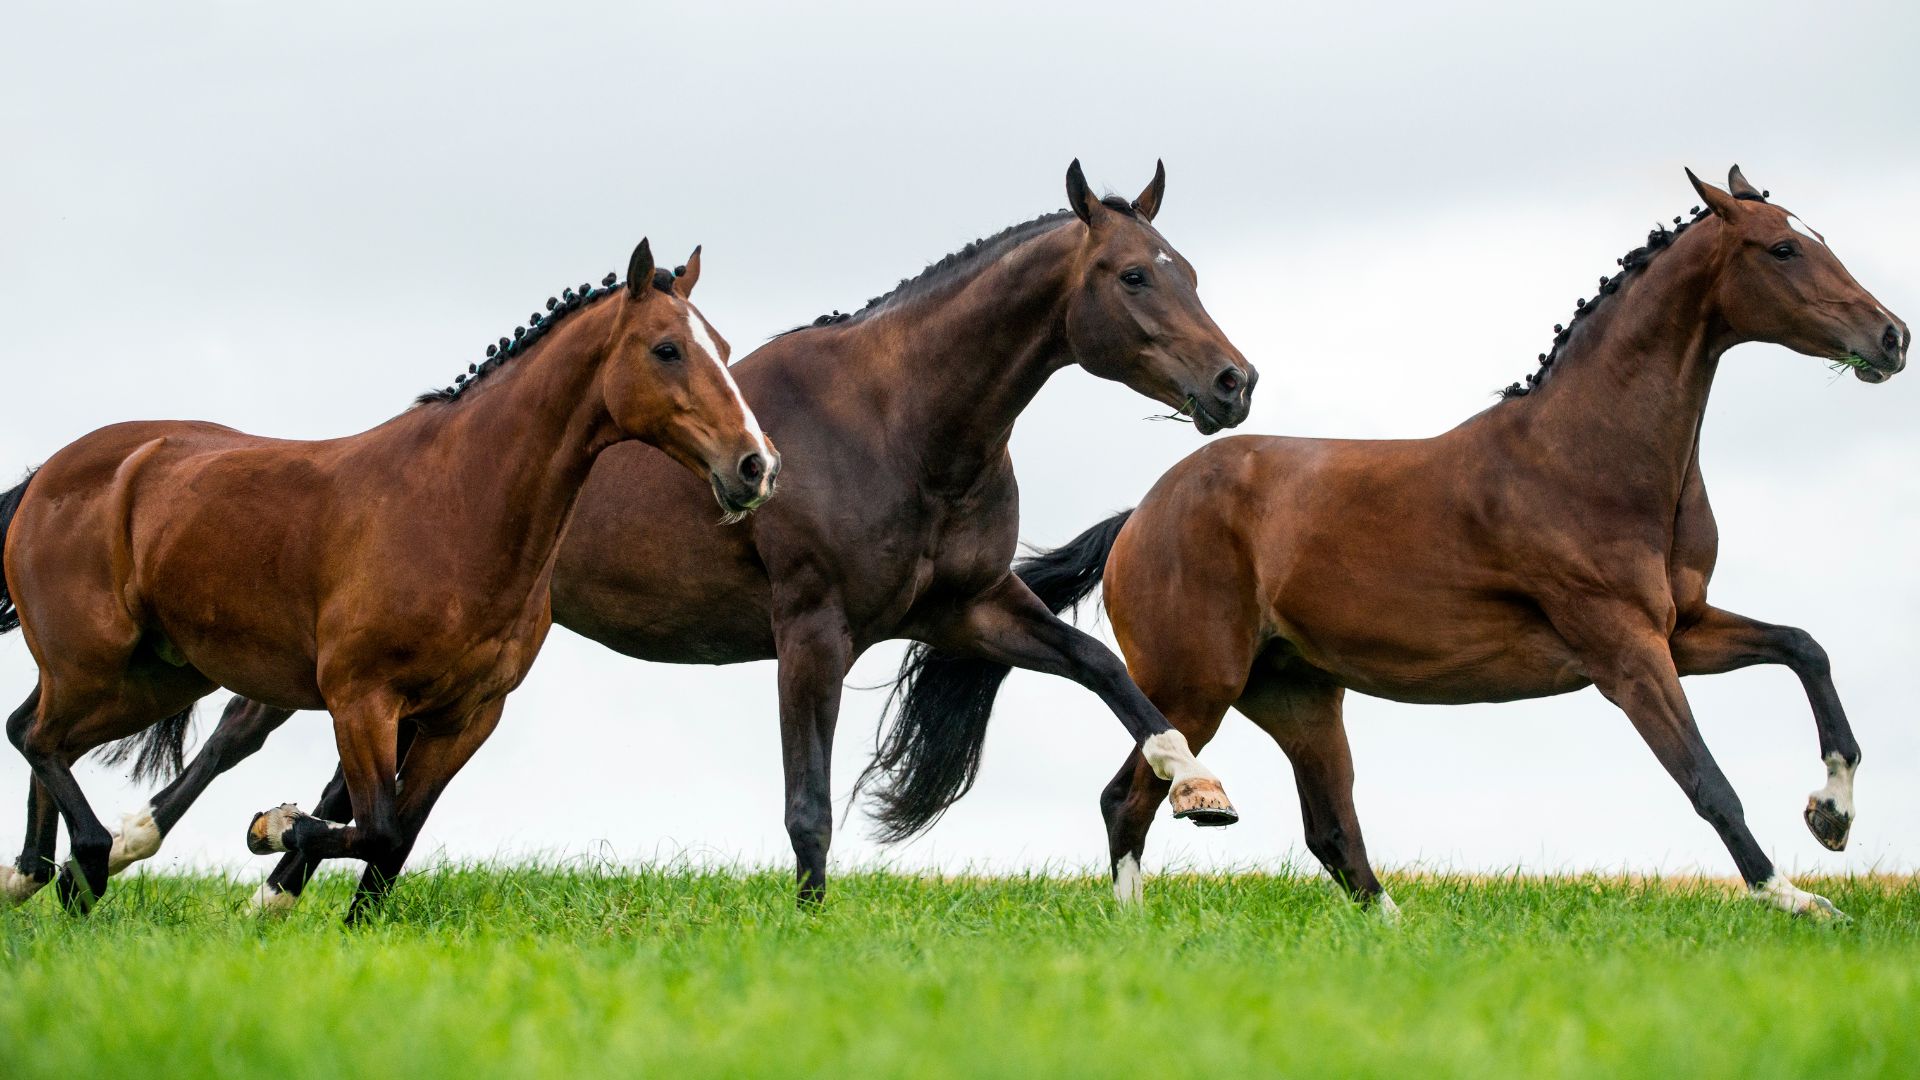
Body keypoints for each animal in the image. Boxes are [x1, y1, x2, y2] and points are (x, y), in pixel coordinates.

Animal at [5, 237, 779, 914]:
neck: (456, 507)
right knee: (36, 738)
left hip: (156, 677)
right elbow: (374, 826)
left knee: (41, 734)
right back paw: (87, 859)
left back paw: (46, 878)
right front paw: (270, 829)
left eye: (725, 349)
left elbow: (395, 843)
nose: (757, 466)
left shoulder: (465, 718)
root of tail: (50, 474)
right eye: (667, 349)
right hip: (94, 666)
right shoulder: (362, 701)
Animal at [74, 155, 1251, 903]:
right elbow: (809, 806)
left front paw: (1197, 782)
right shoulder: (812, 631)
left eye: (1190, 270)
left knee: (354, 783)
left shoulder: (970, 608)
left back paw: (274, 886)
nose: (1234, 384)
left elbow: (1106, 668)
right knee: (242, 730)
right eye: (1132, 274)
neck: (896, 419)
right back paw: (138, 849)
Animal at [871, 166, 1904, 914]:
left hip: (1299, 697)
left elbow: (1805, 649)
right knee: (1133, 794)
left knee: (1331, 833)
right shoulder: (1625, 651)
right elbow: (1707, 780)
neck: (1591, 456)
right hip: (1195, 685)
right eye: (1781, 248)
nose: (1892, 337)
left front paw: (1832, 816)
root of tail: (1140, 516)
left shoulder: (1680, 628)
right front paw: (1799, 899)